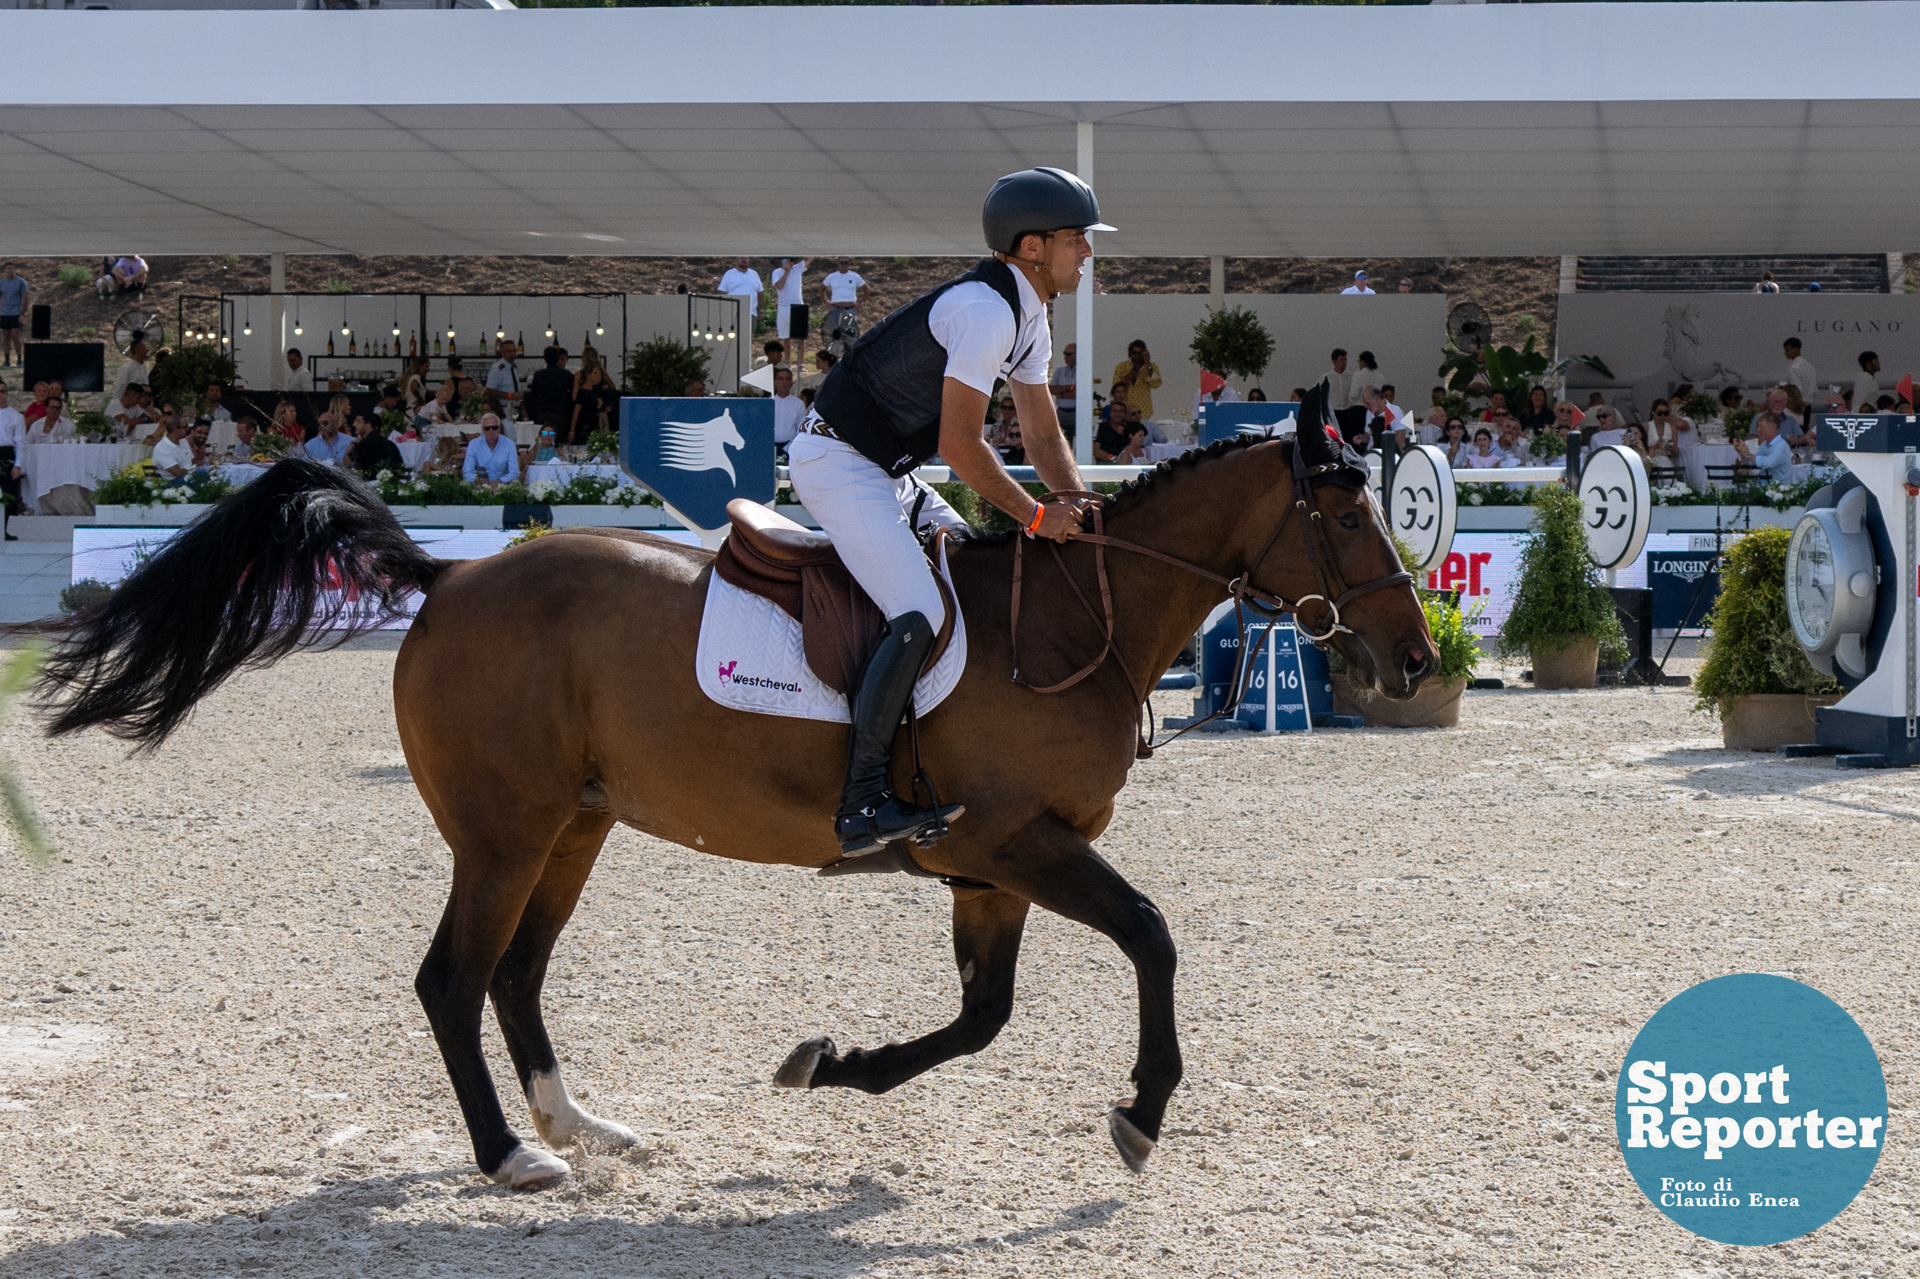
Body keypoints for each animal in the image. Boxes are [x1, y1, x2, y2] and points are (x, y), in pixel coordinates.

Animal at [37, 422, 1436, 1190]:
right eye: (1350, 515)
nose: (1417, 661)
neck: (1071, 621)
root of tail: (448, 580)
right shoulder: (1014, 842)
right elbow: (1149, 935)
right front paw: (1141, 1112)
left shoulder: (989, 869)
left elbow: (982, 1018)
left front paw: (834, 1066)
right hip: (503, 832)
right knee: (453, 979)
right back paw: (514, 1155)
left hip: (575, 826)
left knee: (516, 976)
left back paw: (585, 1124)